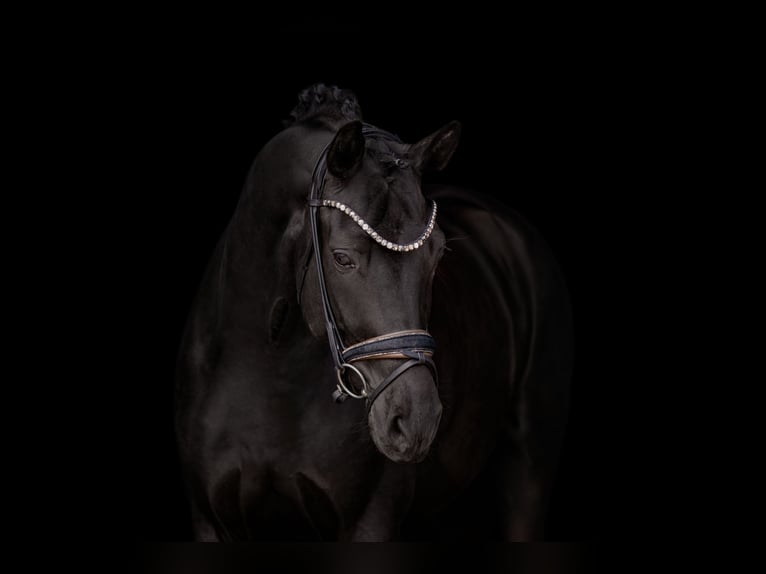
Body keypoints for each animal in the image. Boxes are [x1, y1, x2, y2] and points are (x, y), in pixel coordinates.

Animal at [174, 84, 573, 541]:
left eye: (438, 255)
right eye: (342, 258)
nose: (416, 422)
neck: (268, 373)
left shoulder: (370, 520)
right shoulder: (209, 519)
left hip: (529, 471)